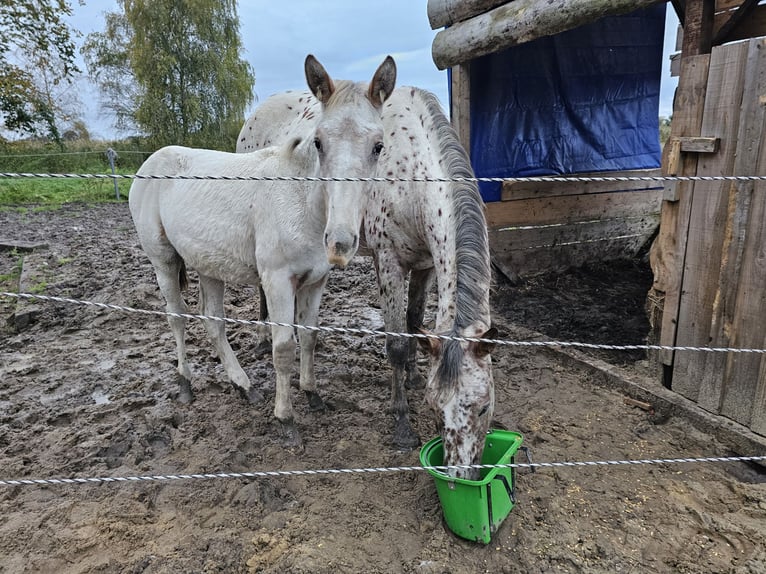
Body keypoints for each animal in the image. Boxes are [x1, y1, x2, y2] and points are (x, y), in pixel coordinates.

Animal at [130, 55, 396, 450]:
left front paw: (313, 395)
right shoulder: (277, 282)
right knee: (176, 317)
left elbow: (310, 337)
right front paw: (286, 420)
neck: (303, 204)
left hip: (208, 266)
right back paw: (185, 384)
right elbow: (283, 347)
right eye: (319, 142)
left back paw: (242, 385)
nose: (340, 242)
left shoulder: (316, 281)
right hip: (163, 261)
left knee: (213, 321)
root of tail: (150, 162)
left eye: (378, 146)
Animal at [238, 70, 498, 480]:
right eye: (435, 410)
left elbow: (414, 321)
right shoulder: (388, 261)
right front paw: (401, 422)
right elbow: (395, 342)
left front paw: (413, 373)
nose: (462, 477)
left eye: (484, 406)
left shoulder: (425, 264)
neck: (411, 169)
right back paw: (264, 340)